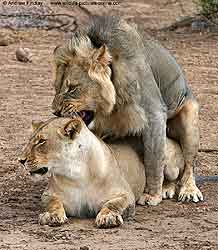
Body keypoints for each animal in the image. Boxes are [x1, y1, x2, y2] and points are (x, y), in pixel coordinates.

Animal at [19, 116, 186, 228]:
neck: (76, 173)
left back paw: (166, 190)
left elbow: (113, 204)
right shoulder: (49, 194)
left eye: (41, 141)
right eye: (30, 140)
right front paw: (52, 216)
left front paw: (108, 217)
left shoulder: (126, 194)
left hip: (165, 158)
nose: (20, 160)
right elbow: (53, 203)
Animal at [51, 15, 203, 205]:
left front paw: (151, 195)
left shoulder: (154, 114)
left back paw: (188, 190)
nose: (55, 111)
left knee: (189, 165)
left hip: (189, 120)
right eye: (57, 88)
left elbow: (153, 160)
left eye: (72, 88)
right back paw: (167, 189)